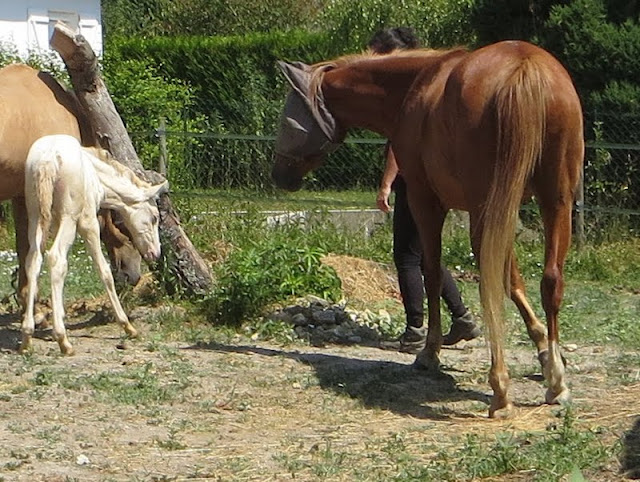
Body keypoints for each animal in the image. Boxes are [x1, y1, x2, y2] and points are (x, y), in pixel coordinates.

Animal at [272, 41, 584, 418]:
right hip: (555, 202)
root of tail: (524, 68)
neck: (415, 85)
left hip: (488, 209)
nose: (278, 175)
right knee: (550, 280)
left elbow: (432, 273)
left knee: (491, 284)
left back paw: (500, 389)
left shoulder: (426, 202)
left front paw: (430, 351)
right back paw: (556, 383)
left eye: (286, 118)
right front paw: (545, 354)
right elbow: (513, 282)